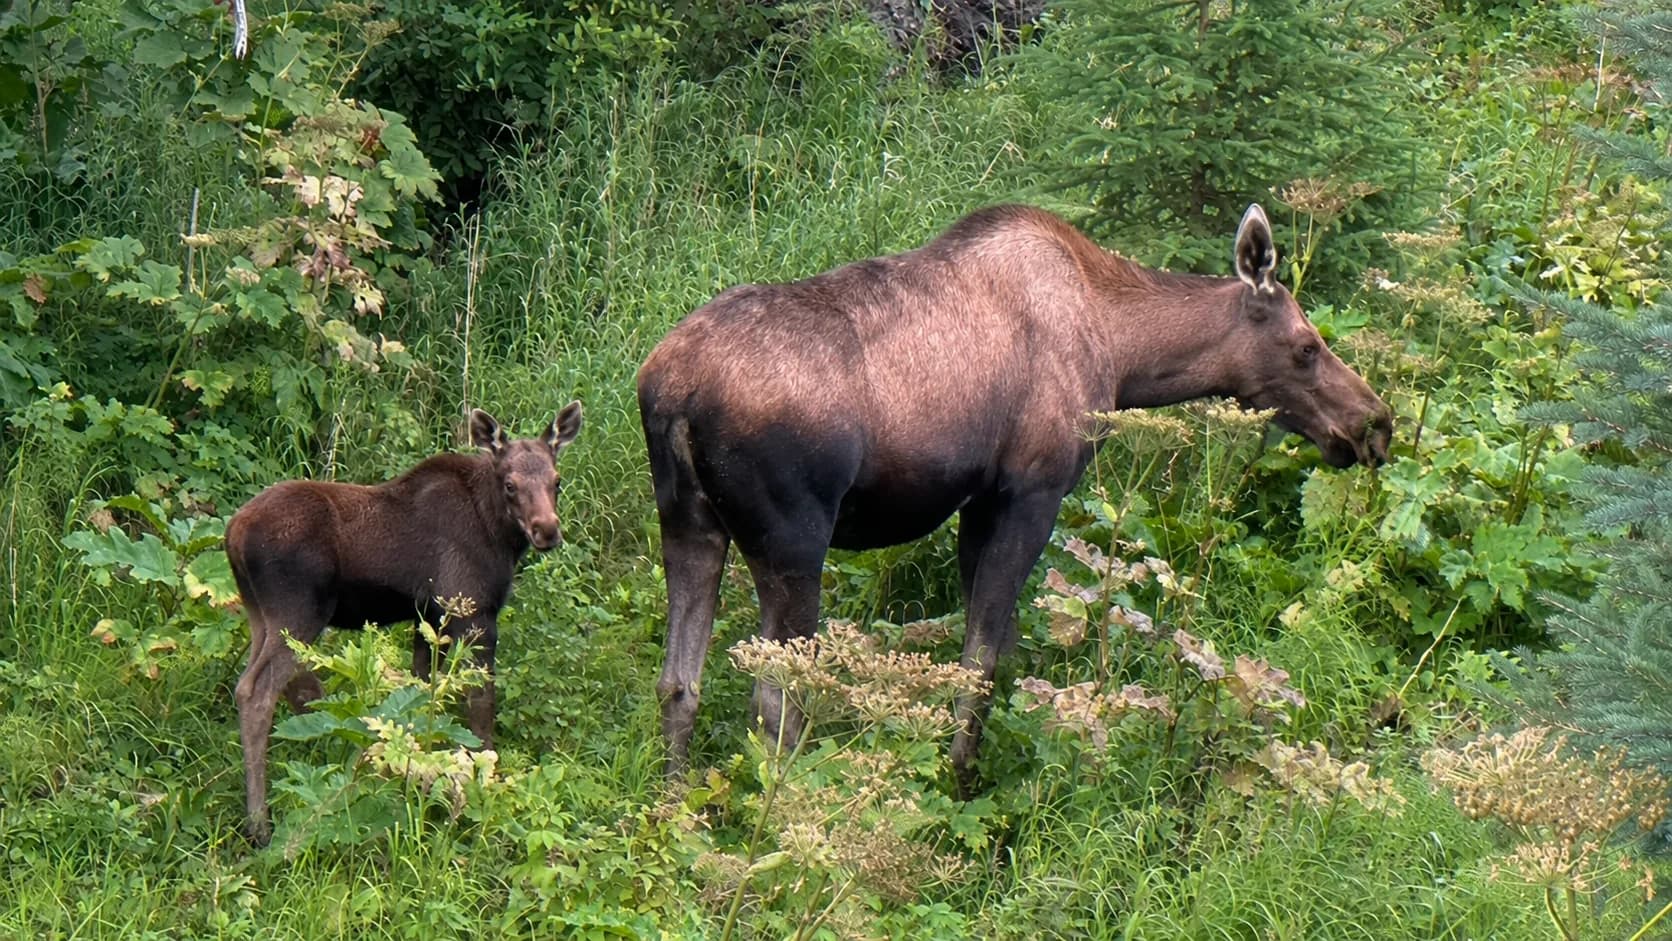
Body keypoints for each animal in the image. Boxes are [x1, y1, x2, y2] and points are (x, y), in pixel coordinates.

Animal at [225, 403, 582, 845]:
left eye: (557, 480)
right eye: (510, 484)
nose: (547, 530)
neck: (498, 533)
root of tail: (232, 535)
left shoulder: (427, 615)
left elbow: (422, 689)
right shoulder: (472, 613)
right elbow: (480, 702)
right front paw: (483, 777)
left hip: (260, 614)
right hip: (298, 611)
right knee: (256, 690)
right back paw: (260, 822)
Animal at [636, 203, 1392, 789]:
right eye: (1306, 345)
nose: (1375, 424)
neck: (1125, 352)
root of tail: (670, 392)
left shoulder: (978, 501)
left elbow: (994, 650)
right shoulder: (1032, 489)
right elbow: (983, 661)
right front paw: (958, 778)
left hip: (688, 522)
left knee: (678, 682)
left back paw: (678, 812)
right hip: (793, 540)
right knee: (775, 702)